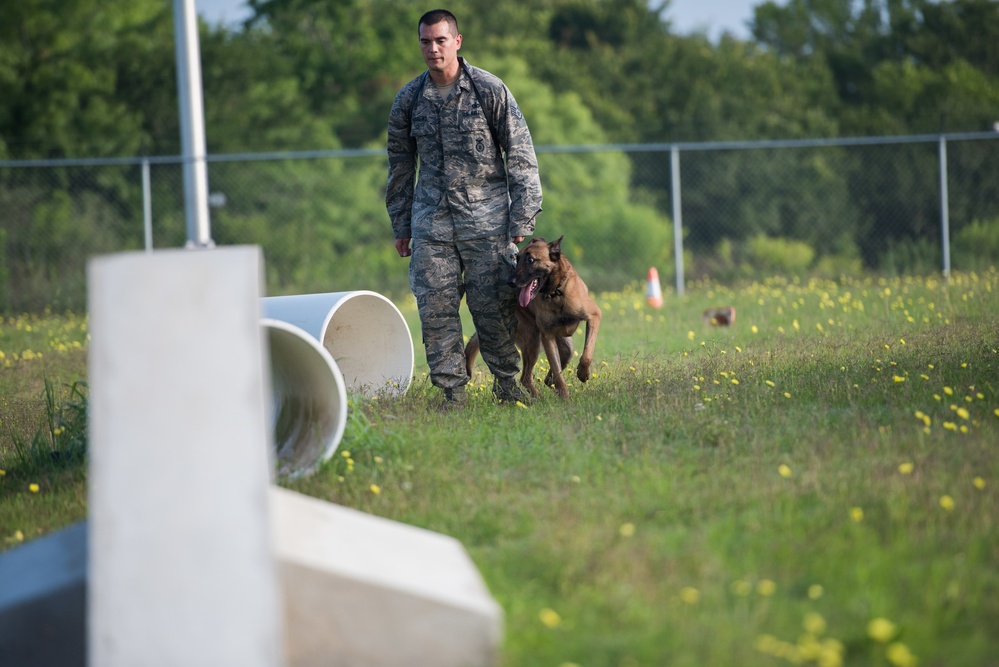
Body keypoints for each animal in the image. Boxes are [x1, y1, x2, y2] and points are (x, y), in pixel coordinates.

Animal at [466, 237, 600, 400]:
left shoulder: (594, 316)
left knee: (562, 358)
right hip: (532, 339)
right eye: (517, 258)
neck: (555, 293)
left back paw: (547, 383)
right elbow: (557, 370)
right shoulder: (547, 337)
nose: (510, 281)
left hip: (559, 345)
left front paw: (582, 373)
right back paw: (537, 397)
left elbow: (586, 354)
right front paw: (564, 395)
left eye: (531, 260)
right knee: (525, 378)